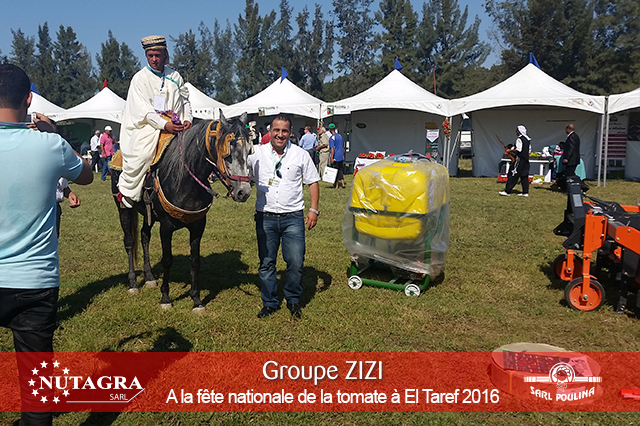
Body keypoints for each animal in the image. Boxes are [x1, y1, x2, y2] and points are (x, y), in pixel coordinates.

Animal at [111, 112, 252, 311]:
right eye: (228, 152)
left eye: (249, 150)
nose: (243, 192)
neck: (185, 181)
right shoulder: (166, 227)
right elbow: (167, 259)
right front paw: (165, 298)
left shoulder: (198, 226)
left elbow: (195, 260)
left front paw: (197, 300)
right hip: (124, 208)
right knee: (130, 242)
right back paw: (133, 284)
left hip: (148, 215)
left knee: (144, 236)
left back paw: (149, 277)